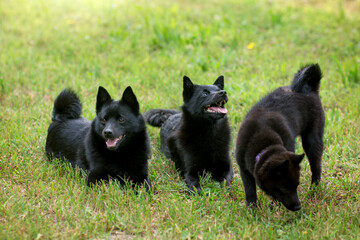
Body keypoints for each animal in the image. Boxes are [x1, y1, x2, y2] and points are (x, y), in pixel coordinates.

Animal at [235, 63, 324, 210]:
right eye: (283, 189)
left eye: (297, 185)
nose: (298, 207)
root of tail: (309, 88)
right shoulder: (244, 170)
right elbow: (250, 191)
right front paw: (251, 209)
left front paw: (272, 204)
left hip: (312, 140)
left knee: (316, 167)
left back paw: (314, 190)